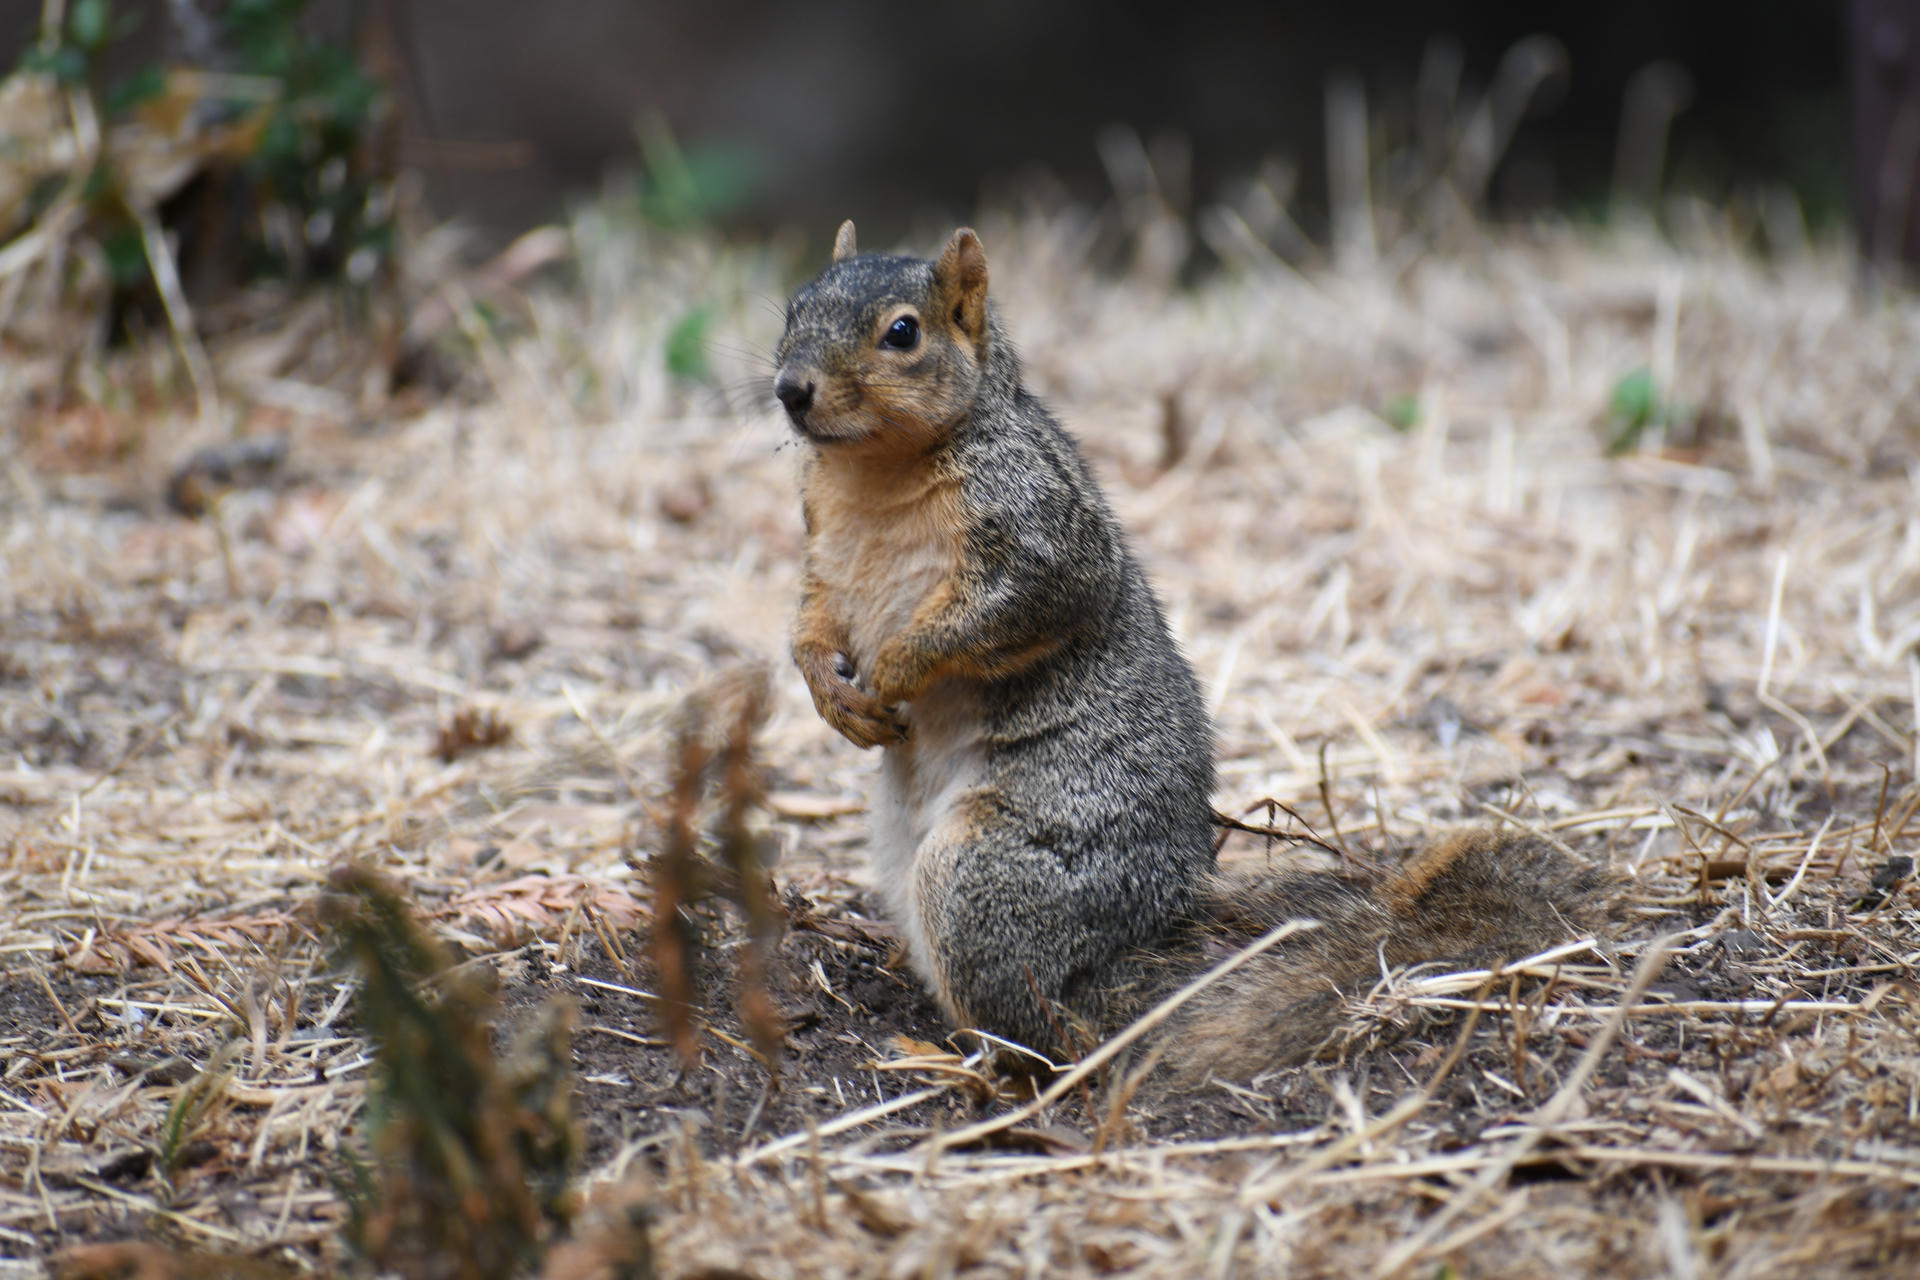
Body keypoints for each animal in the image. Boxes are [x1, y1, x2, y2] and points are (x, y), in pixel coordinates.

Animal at [774, 221, 1613, 1080]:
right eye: (792, 308)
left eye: (902, 333)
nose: (789, 389)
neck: (872, 471)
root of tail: (1138, 946)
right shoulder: (821, 548)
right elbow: (810, 622)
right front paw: (828, 692)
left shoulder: (1040, 535)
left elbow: (999, 614)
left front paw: (895, 666)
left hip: (986, 870)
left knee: (1049, 1029)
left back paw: (960, 1055)